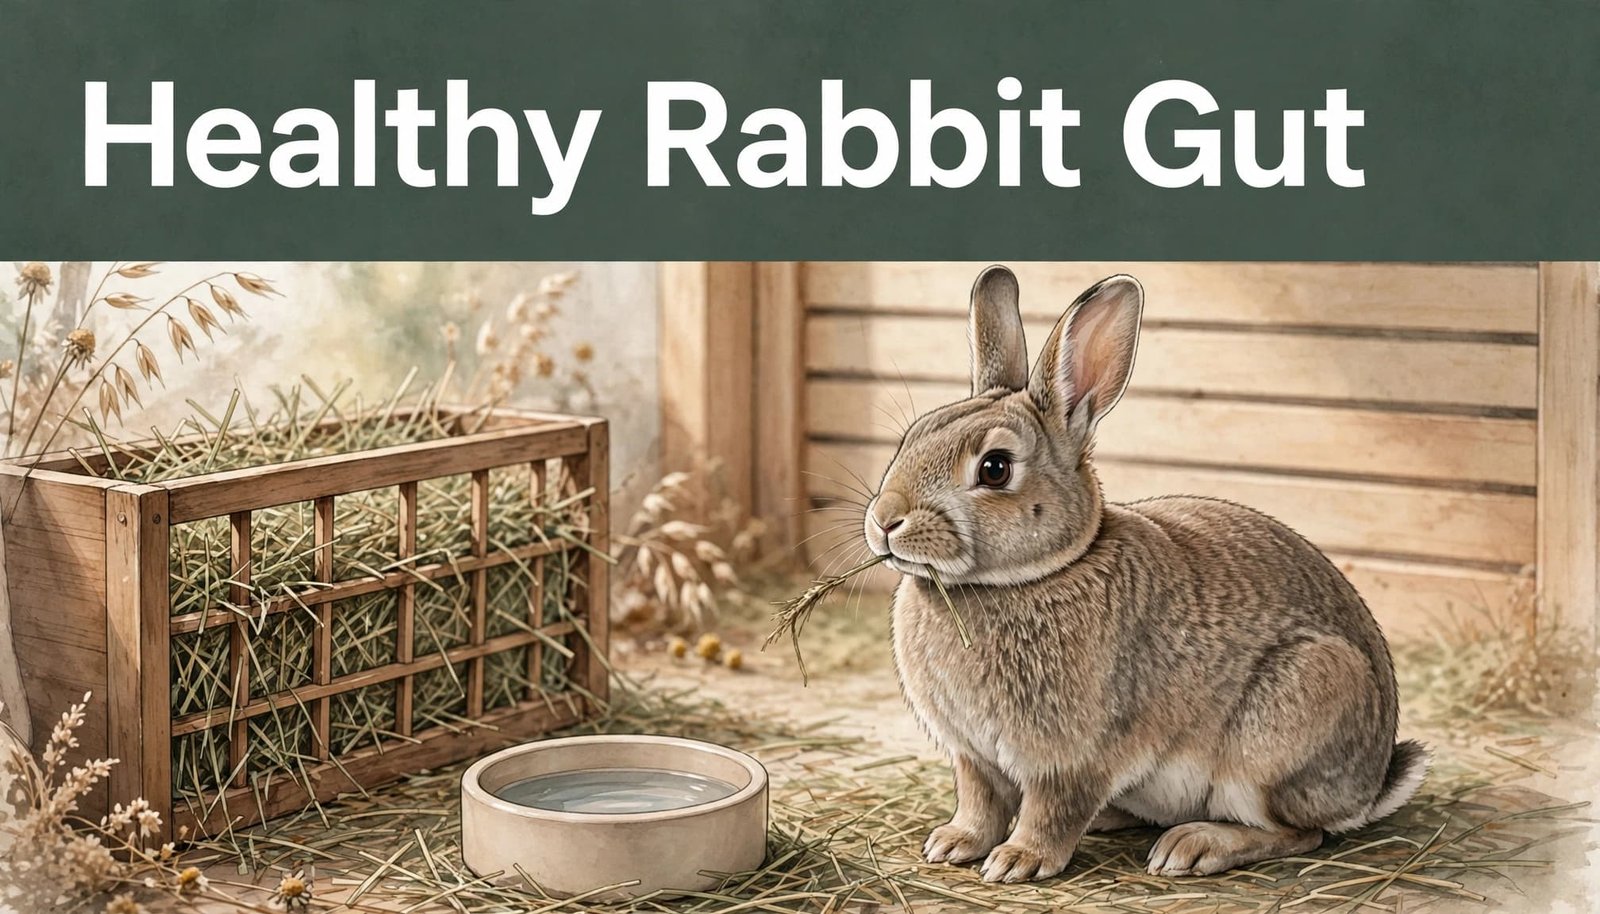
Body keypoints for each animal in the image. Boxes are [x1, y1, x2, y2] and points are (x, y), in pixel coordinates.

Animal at [862, 265, 1427, 883]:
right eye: (913, 435)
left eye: (995, 468)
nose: (885, 520)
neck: (1031, 575)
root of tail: (1370, 786)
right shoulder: (973, 756)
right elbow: (979, 802)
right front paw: (952, 844)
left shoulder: (1072, 759)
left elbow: (1051, 811)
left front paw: (1017, 861)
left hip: (1284, 724)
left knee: (1300, 832)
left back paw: (1194, 847)